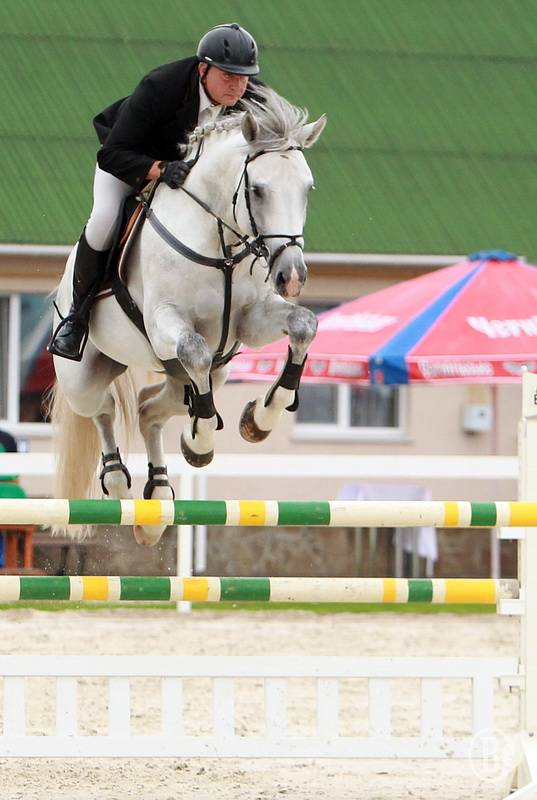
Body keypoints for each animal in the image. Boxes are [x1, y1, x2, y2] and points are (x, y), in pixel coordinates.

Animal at [50, 85, 326, 545]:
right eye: (259, 190)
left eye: (307, 189)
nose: (291, 277)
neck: (221, 241)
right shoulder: (166, 321)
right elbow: (195, 349)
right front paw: (199, 442)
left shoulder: (250, 321)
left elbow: (305, 325)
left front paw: (261, 417)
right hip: (83, 377)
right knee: (105, 409)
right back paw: (120, 482)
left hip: (203, 374)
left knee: (150, 408)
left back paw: (158, 498)